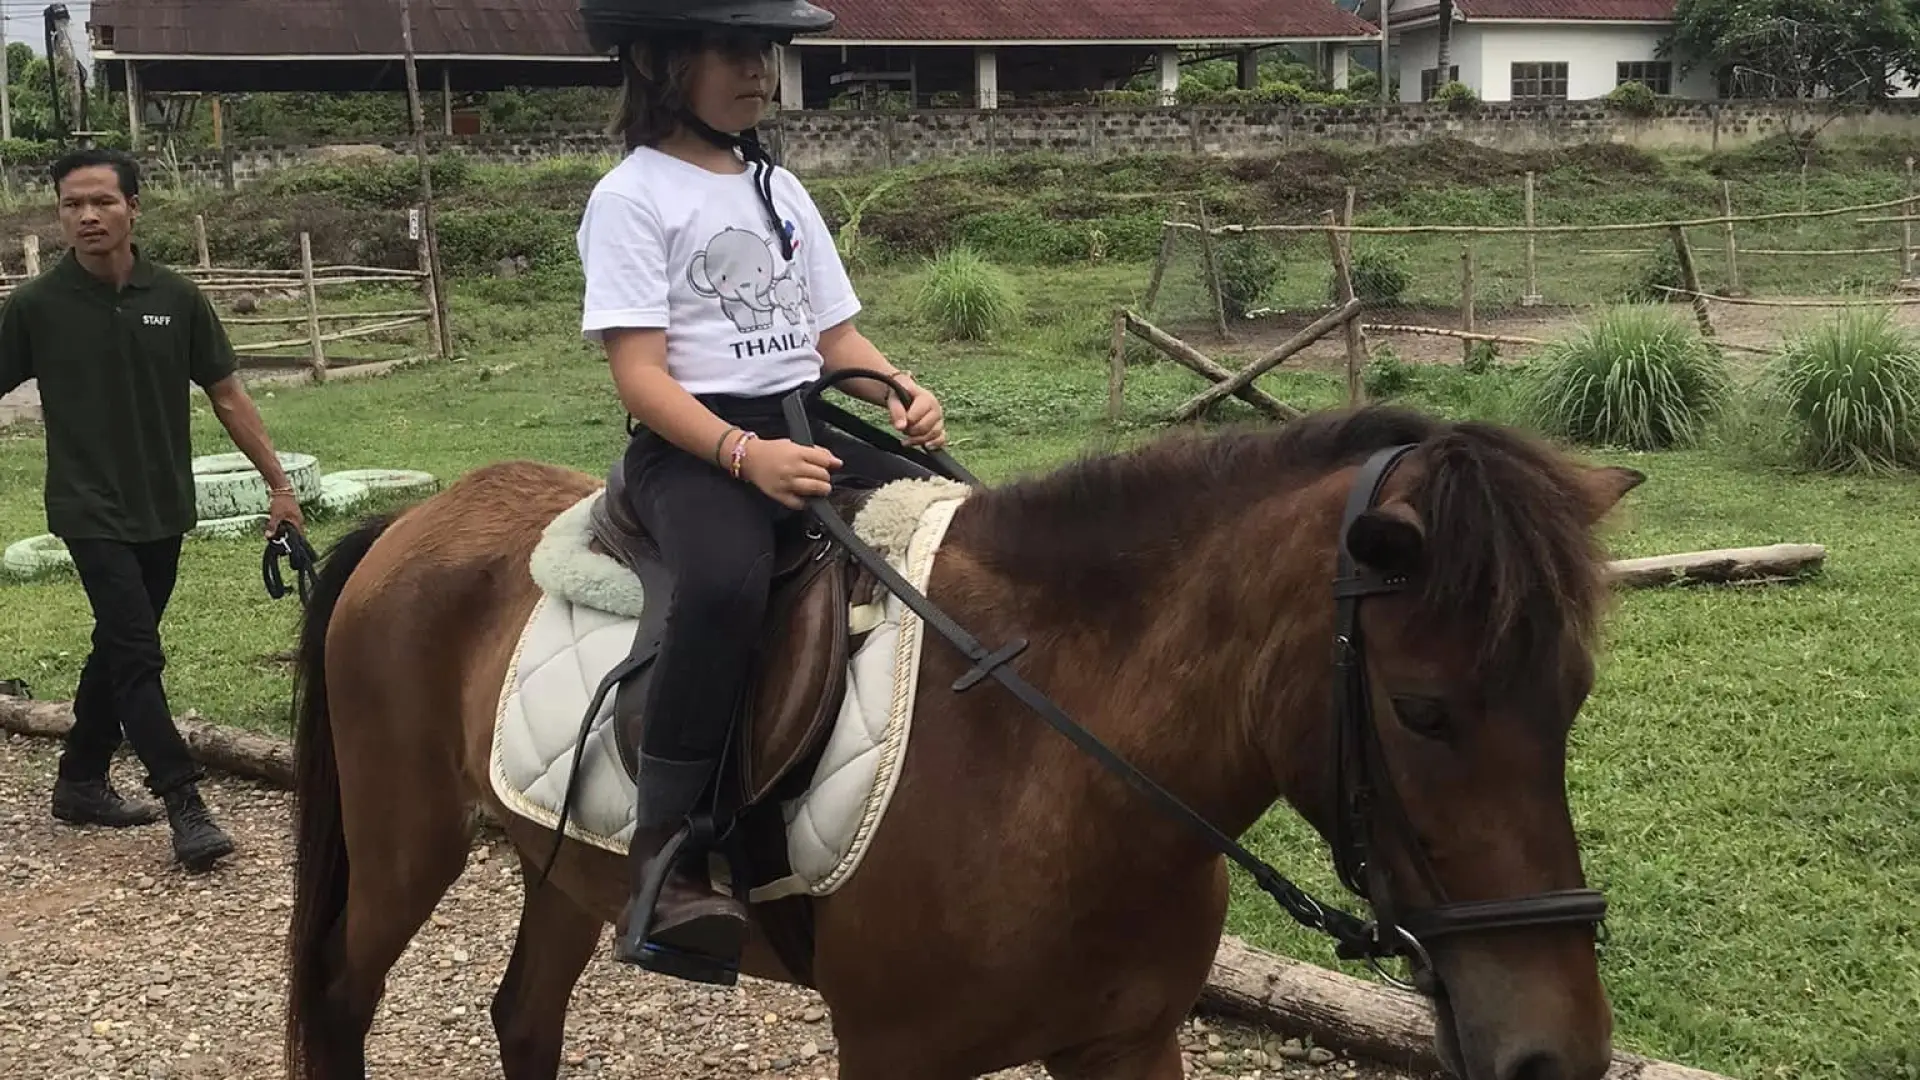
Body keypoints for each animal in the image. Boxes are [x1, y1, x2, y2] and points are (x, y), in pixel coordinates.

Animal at [280, 399, 1643, 1080]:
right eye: (1424, 710)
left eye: (1573, 699)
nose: (1556, 1054)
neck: (1059, 763)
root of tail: (414, 524)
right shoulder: (894, 1060)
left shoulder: (1126, 1045)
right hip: (405, 845)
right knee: (344, 1002)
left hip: (566, 864)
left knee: (525, 1018)